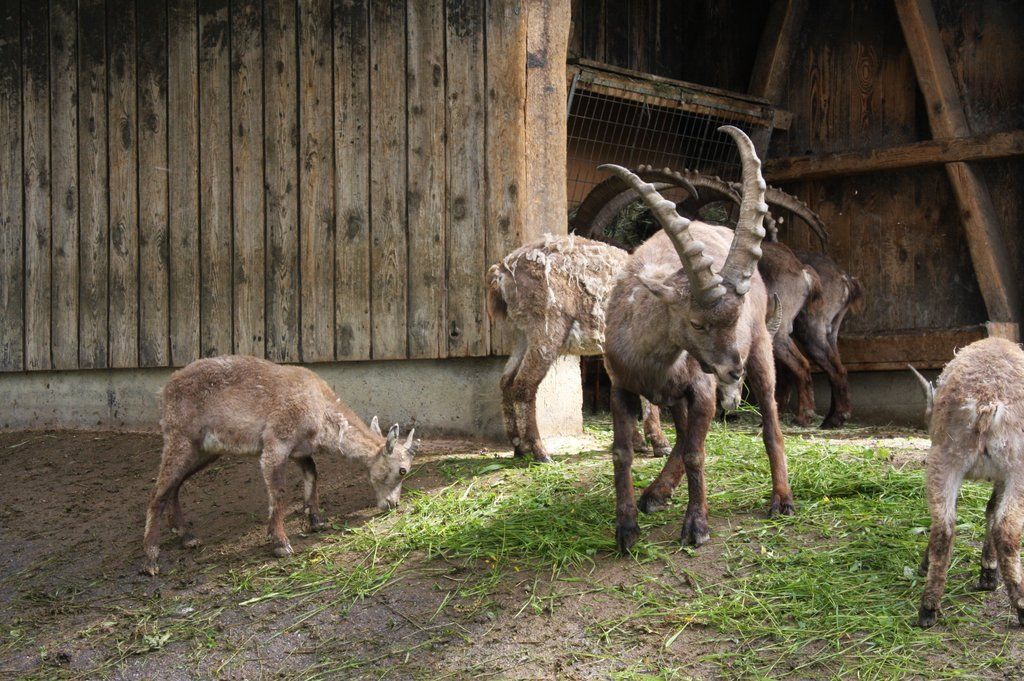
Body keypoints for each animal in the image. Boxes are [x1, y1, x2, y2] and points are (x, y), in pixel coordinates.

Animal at [143, 355, 415, 575]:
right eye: (402, 470)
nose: (393, 504)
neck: (320, 408)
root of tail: (164, 390)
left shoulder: (299, 451)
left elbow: (313, 474)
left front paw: (316, 519)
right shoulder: (277, 443)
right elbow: (279, 493)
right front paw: (280, 543)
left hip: (204, 450)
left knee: (175, 484)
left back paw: (186, 536)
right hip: (180, 437)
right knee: (157, 492)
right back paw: (152, 559)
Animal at [600, 126, 794, 553]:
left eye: (733, 318)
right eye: (697, 323)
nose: (732, 370)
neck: (652, 360)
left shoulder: (702, 389)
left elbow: (695, 453)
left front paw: (696, 526)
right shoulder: (621, 387)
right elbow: (622, 454)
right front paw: (626, 529)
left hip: (760, 349)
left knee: (770, 422)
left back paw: (782, 500)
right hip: (679, 394)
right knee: (682, 431)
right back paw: (656, 493)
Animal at [912, 338, 1024, 627]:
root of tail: (986, 404)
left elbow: (990, 509)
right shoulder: (1004, 476)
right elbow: (992, 510)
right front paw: (988, 572)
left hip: (946, 460)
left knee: (944, 528)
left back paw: (928, 608)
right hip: (1013, 467)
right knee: (1004, 528)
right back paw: (1020, 606)